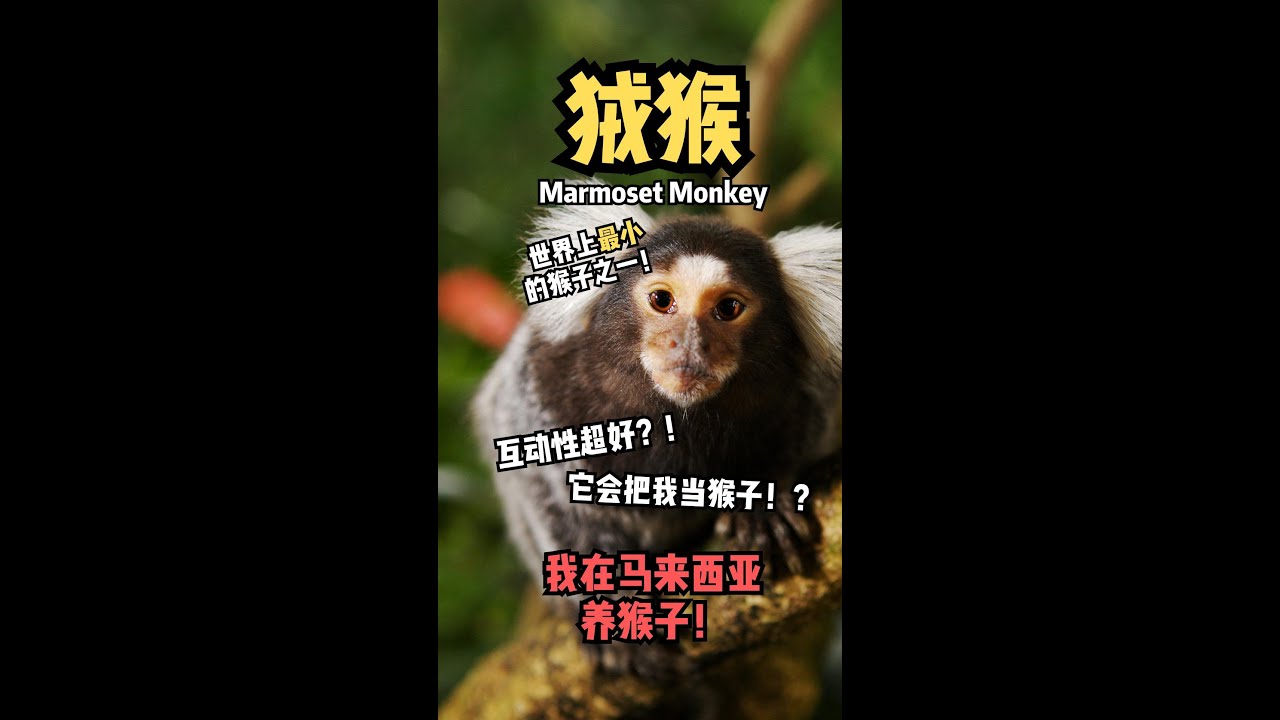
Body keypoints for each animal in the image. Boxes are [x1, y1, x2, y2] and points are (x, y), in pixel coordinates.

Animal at [470, 181, 841, 677]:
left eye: (729, 308)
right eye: (662, 300)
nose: (689, 346)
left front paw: (760, 506)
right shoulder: (542, 378)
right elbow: (538, 482)